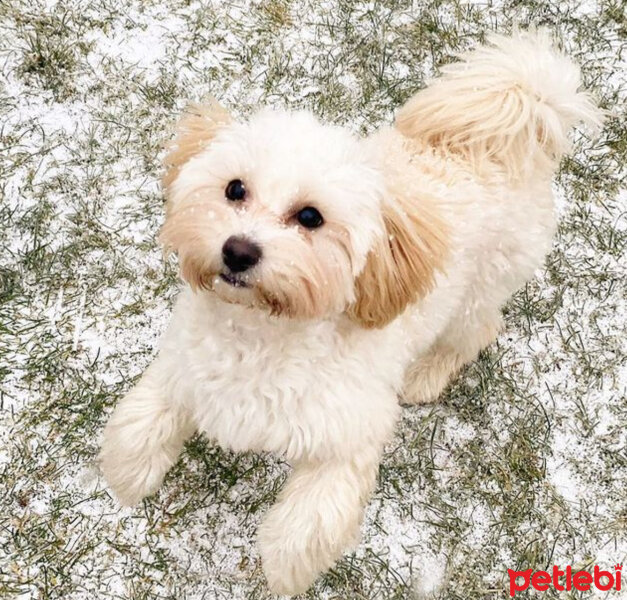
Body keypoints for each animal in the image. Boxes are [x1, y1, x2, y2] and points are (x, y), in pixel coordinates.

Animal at [100, 30, 600, 592]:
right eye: (234, 188)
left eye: (310, 217)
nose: (238, 251)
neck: (260, 332)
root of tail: (506, 131)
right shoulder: (184, 366)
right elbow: (142, 418)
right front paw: (126, 475)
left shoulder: (350, 429)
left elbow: (312, 518)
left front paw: (283, 571)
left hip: (479, 290)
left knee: (477, 330)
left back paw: (427, 374)